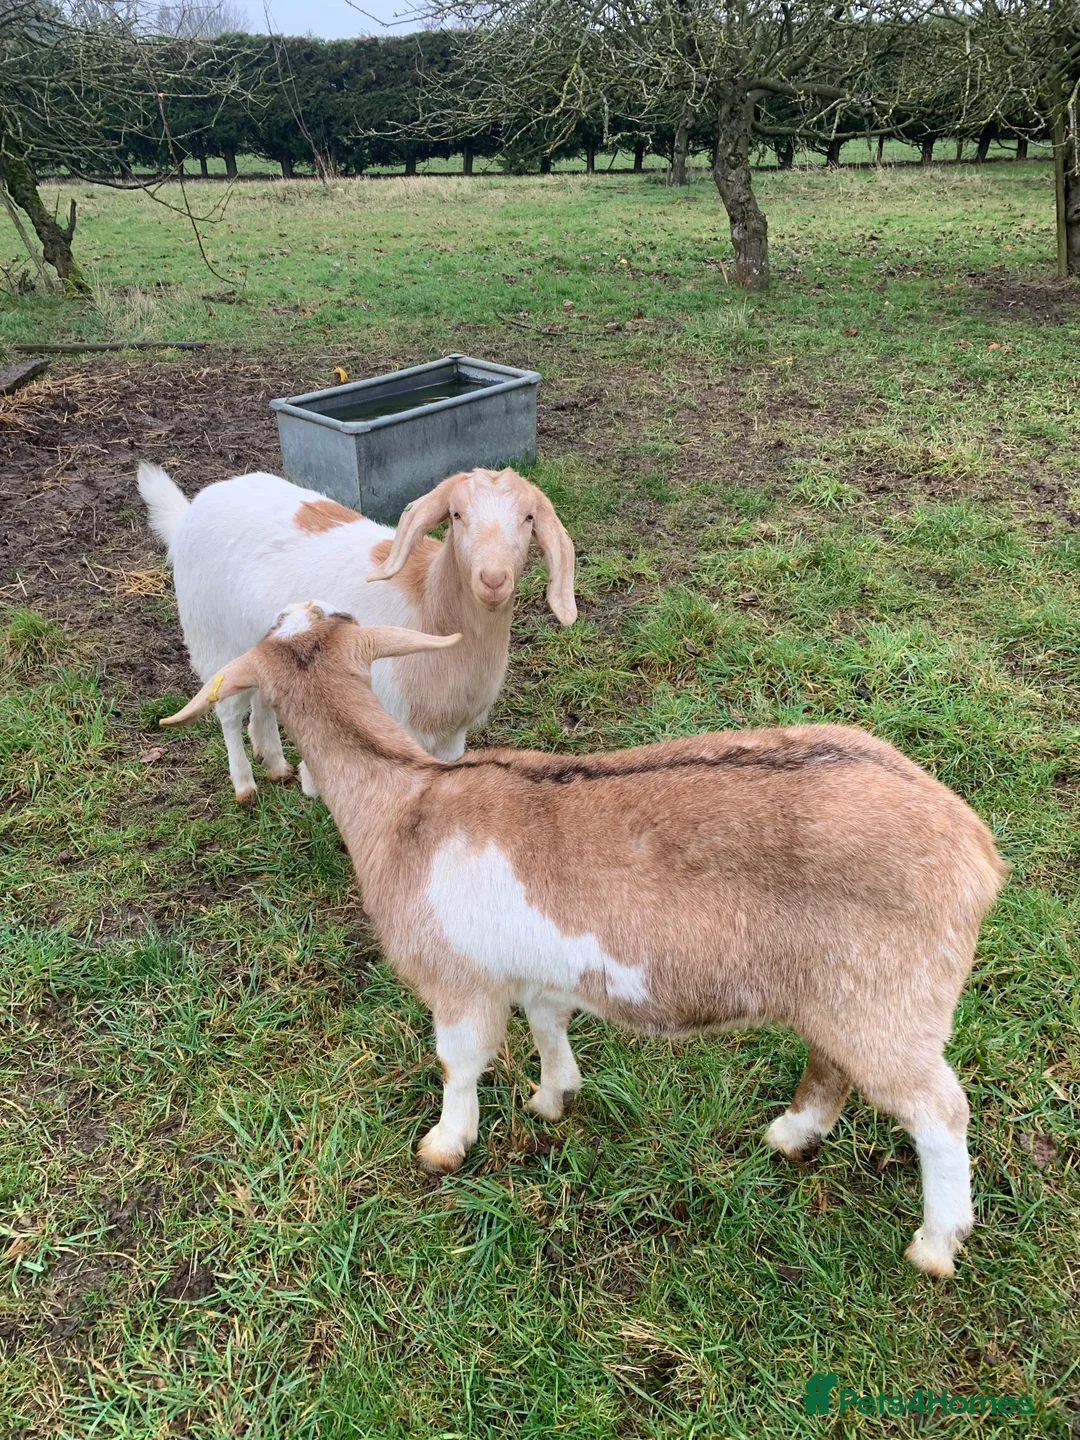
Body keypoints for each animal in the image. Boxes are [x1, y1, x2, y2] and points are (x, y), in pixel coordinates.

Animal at [138, 463, 576, 804]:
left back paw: (276, 764)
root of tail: (190, 511)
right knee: (227, 712)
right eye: (456, 514)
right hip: (211, 636)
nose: (493, 580)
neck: (427, 607)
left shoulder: (451, 737)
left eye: (528, 518)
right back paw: (244, 786)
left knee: (260, 703)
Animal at [162, 602, 1009, 1277]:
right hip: (841, 994)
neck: (408, 802)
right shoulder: (539, 968)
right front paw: (553, 1097)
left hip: (889, 1002)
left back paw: (936, 1243)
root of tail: (975, 850)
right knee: (834, 1067)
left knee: (940, 1113)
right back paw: (791, 1136)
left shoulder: (457, 981)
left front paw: (445, 1145)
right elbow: (548, 1023)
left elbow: (460, 1063)